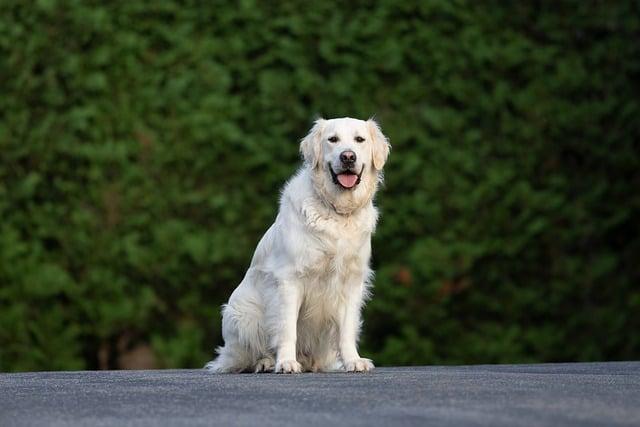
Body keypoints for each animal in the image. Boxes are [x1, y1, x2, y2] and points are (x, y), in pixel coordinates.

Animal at [206, 117, 390, 374]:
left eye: (359, 140)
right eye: (333, 139)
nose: (348, 157)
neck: (336, 214)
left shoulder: (351, 281)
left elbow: (347, 330)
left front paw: (353, 360)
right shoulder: (289, 279)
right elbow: (286, 329)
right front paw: (286, 362)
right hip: (242, 315)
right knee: (247, 356)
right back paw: (266, 362)